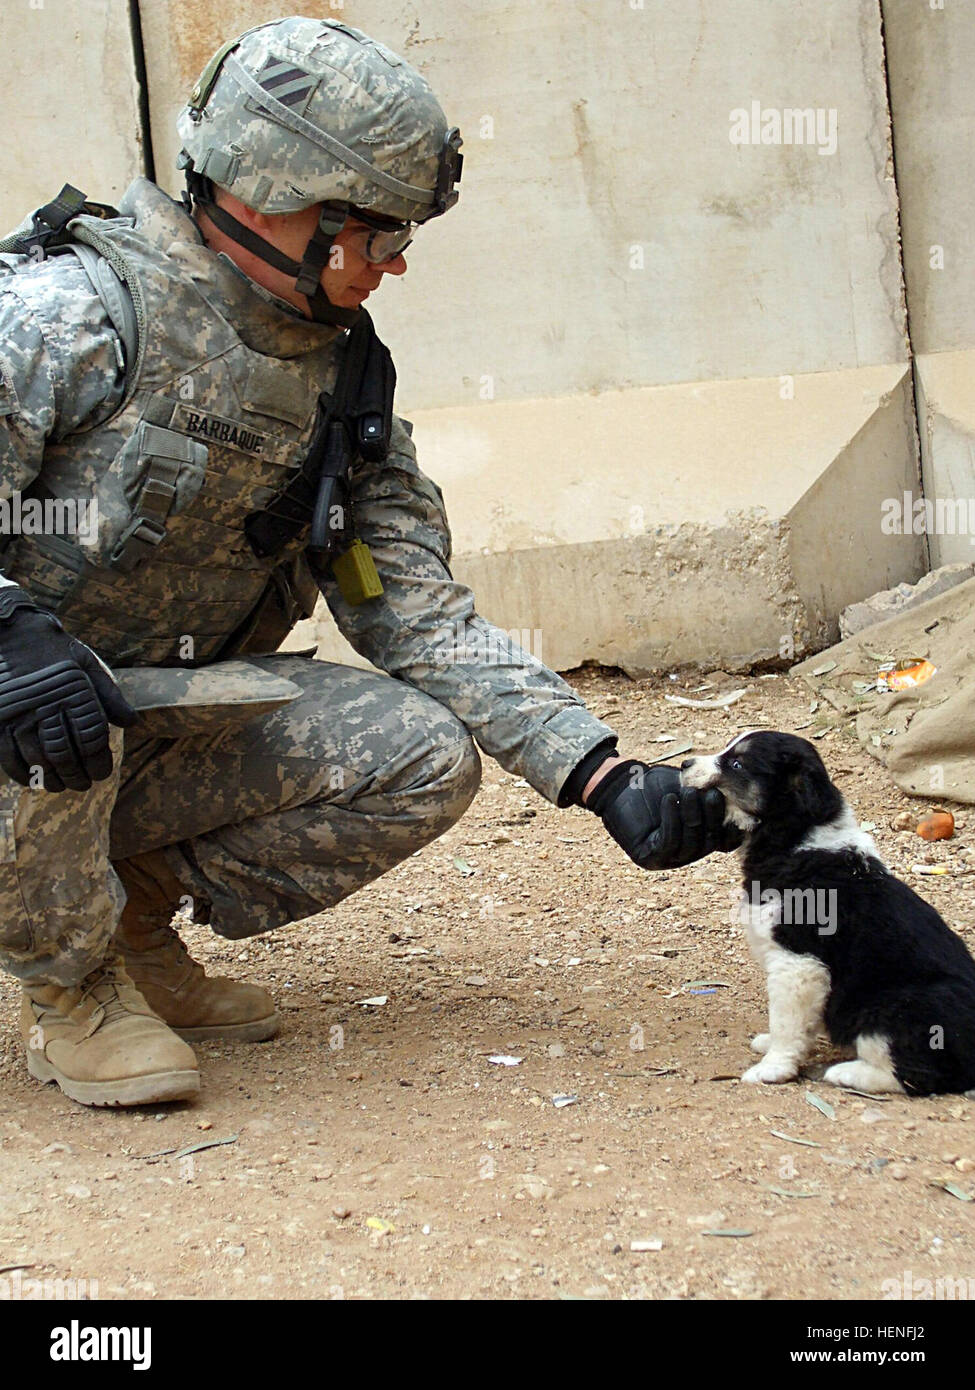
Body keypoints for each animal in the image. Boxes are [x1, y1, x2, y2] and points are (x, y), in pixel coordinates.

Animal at [675, 728, 973, 1095]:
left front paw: (772, 1068)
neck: (796, 841)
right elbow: (796, 1022)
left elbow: (787, 1022)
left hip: (898, 1005)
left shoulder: (798, 962)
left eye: (737, 763)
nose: (684, 763)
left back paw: (847, 1073)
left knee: (917, 1073)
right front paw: (773, 1044)